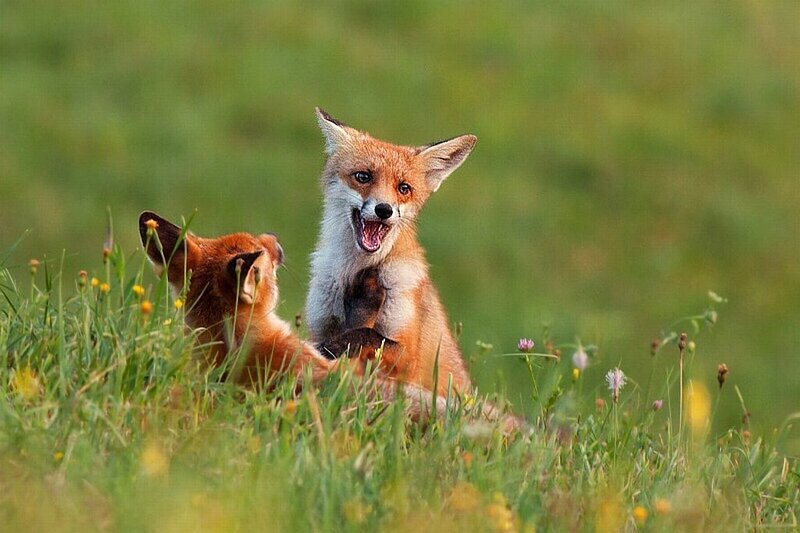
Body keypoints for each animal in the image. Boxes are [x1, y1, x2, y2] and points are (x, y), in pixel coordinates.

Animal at [306, 109, 477, 396]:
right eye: (363, 176)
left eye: (403, 188)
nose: (384, 209)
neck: (355, 271)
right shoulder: (319, 324)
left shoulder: (407, 356)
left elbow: (366, 335)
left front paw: (333, 347)